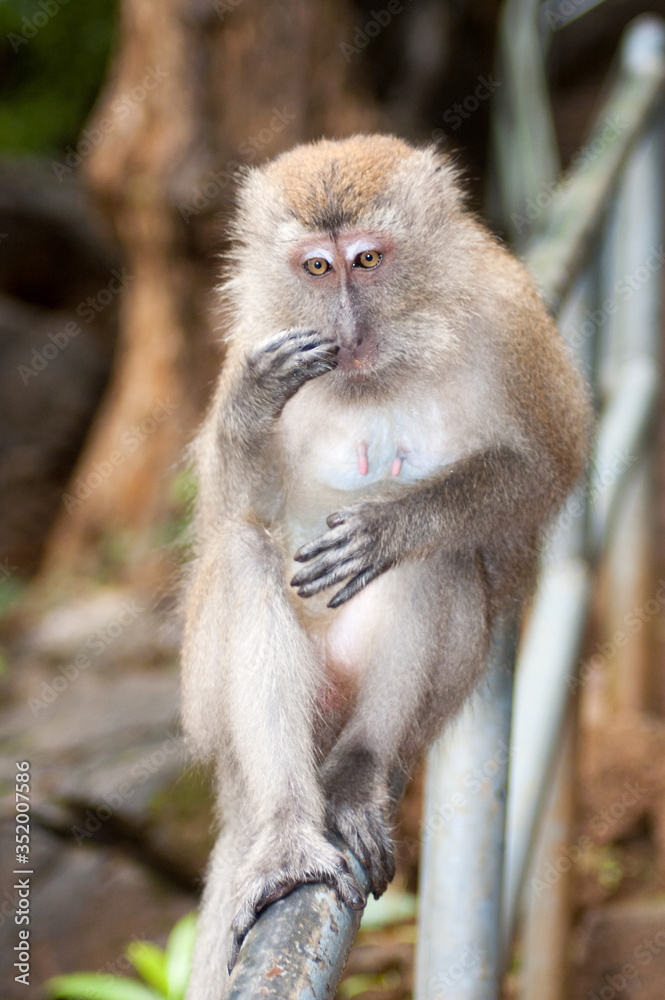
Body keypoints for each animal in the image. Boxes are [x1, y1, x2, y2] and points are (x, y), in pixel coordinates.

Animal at [179, 135, 588, 1000]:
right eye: (316, 268)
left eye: (367, 259)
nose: (344, 326)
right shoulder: (254, 334)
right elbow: (231, 514)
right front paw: (251, 403)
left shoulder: (509, 313)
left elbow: (548, 462)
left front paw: (390, 523)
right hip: (214, 715)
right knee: (242, 555)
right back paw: (287, 834)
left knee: (442, 562)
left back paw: (361, 766)